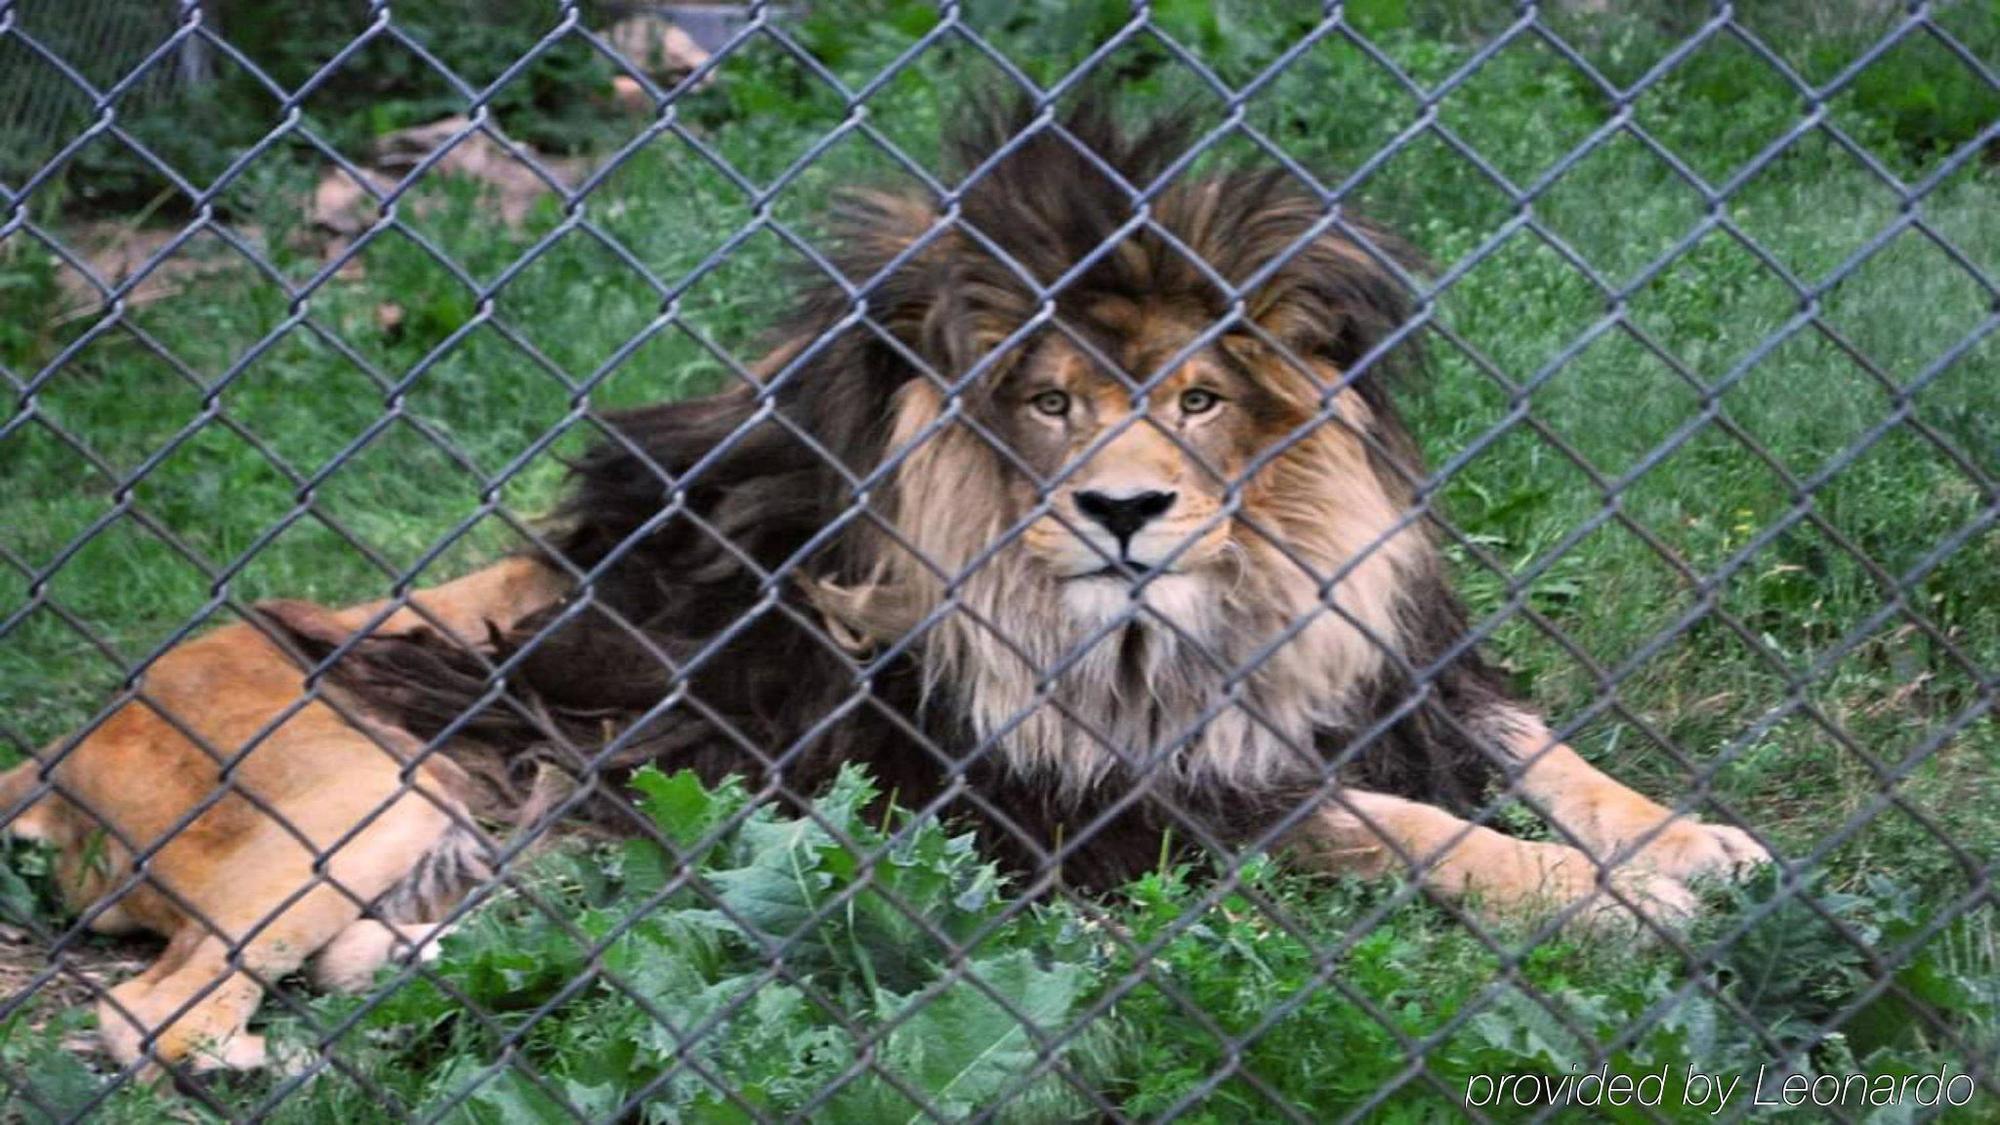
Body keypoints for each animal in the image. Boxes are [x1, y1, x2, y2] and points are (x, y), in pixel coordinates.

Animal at [0, 98, 1760, 1080]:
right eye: (1046, 401)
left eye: (1198, 398)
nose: (1126, 512)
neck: (1214, 610)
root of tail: (61, 744)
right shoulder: (1100, 802)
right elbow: (1414, 833)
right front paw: (1617, 902)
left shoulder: (1391, 675)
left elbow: (1547, 751)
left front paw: (1694, 843)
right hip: (332, 803)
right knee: (149, 1015)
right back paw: (265, 1071)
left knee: (352, 960)